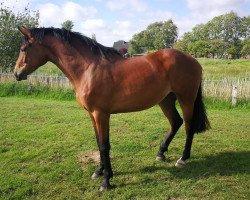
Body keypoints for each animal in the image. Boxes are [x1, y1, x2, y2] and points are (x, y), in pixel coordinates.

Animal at [13, 26, 209, 191]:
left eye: (23, 49)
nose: (16, 73)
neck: (88, 69)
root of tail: (193, 60)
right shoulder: (92, 115)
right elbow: (98, 142)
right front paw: (98, 171)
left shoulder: (101, 114)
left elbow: (104, 145)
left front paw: (106, 180)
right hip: (166, 100)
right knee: (175, 122)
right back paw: (161, 153)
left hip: (186, 99)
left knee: (188, 126)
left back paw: (183, 158)